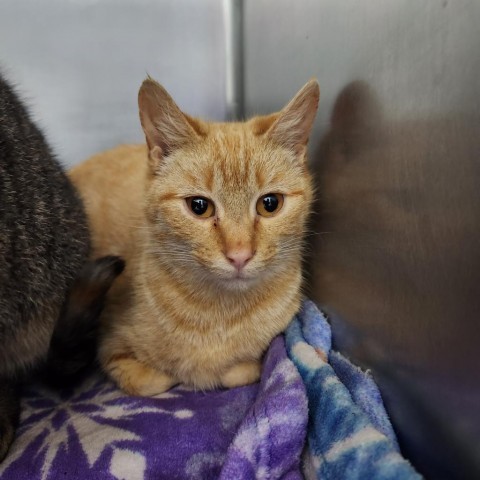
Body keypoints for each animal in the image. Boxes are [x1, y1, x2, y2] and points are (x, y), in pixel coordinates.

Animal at [68, 77, 318, 396]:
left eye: (270, 204)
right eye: (199, 206)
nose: (240, 255)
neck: (219, 315)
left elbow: (240, 371)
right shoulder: (108, 345)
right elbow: (155, 379)